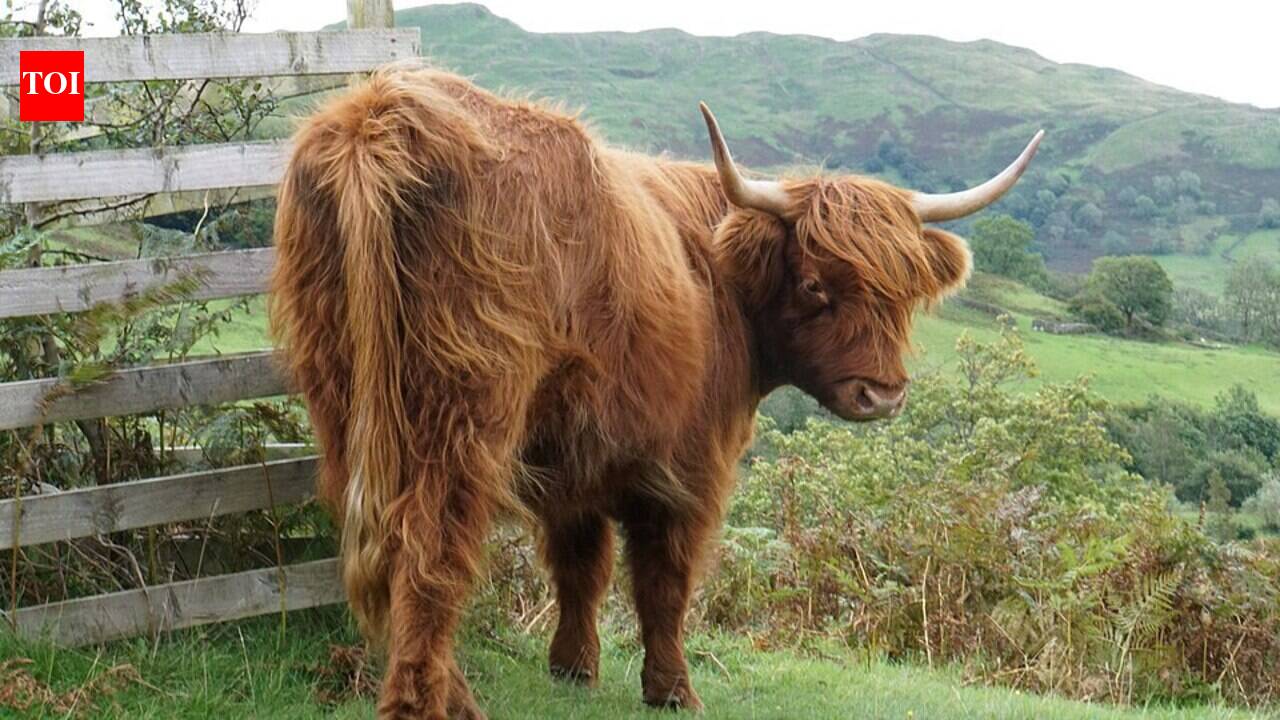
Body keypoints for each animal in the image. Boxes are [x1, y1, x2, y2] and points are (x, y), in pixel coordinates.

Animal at [270, 65, 1041, 719]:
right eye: (816, 284)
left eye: (902, 295)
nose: (879, 395)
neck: (725, 285)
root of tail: (380, 118)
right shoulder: (691, 463)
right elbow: (665, 578)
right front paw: (673, 690)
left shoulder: (575, 454)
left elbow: (581, 565)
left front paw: (572, 668)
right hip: (461, 407)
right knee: (427, 546)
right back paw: (427, 703)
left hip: (342, 393)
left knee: (379, 541)